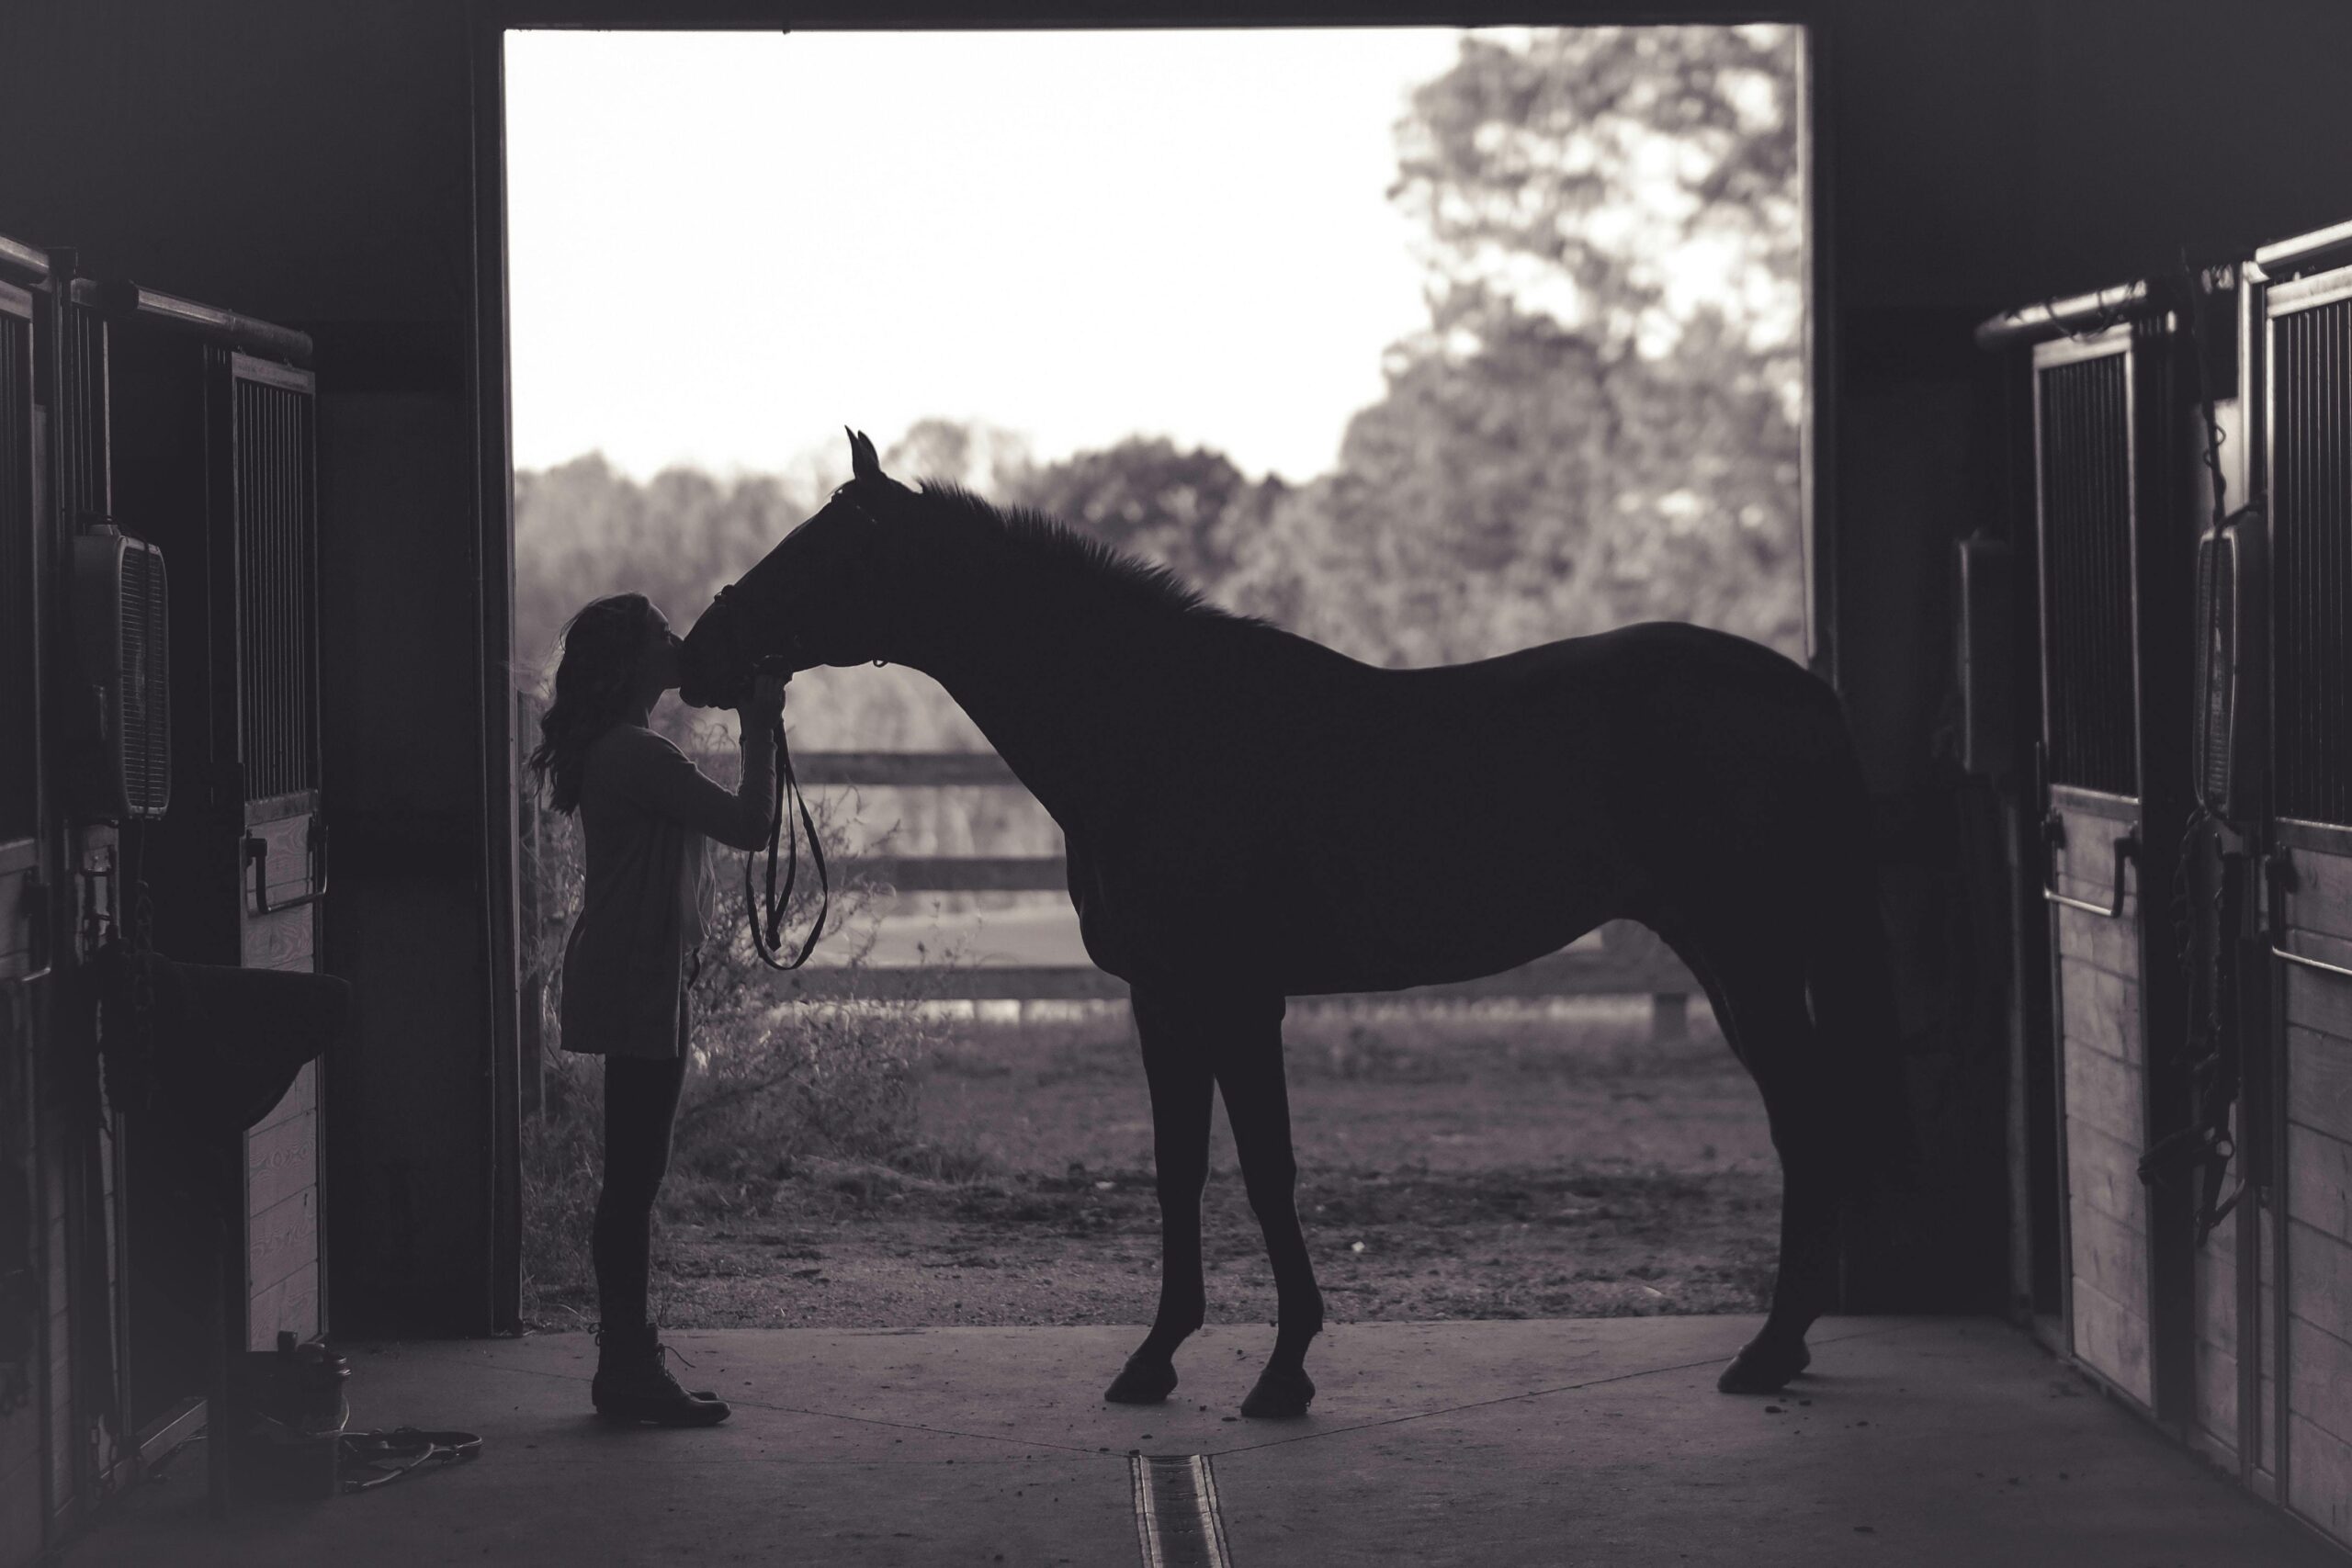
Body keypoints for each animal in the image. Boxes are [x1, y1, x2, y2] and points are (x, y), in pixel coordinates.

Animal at [682, 430, 1909, 1419]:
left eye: (820, 550)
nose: (698, 654)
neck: (1157, 730)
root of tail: (1801, 690)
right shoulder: (1162, 999)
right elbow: (1180, 1171)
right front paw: (1154, 1361)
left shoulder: (1238, 998)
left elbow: (1267, 1172)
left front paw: (1282, 1374)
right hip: (1729, 957)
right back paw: (1781, 1349)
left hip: (1749, 956)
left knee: (1807, 1123)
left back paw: (1767, 1353)